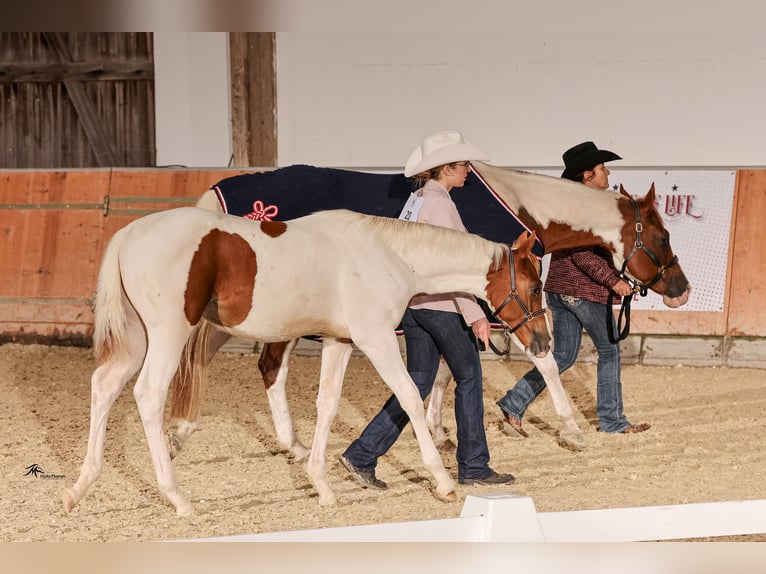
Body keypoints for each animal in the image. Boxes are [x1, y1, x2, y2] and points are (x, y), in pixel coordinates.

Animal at [63, 208, 548, 516]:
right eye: (535, 286)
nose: (543, 342)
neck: (391, 255)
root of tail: (130, 234)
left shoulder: (340, 341)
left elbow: (326, 406)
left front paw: (322, 485)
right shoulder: (375, 339)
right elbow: (410, 396)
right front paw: (444, 482)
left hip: (138, 337)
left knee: (104, 386)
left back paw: (80, 487)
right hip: (167, 333)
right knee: (148, 394)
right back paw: (177, 497)